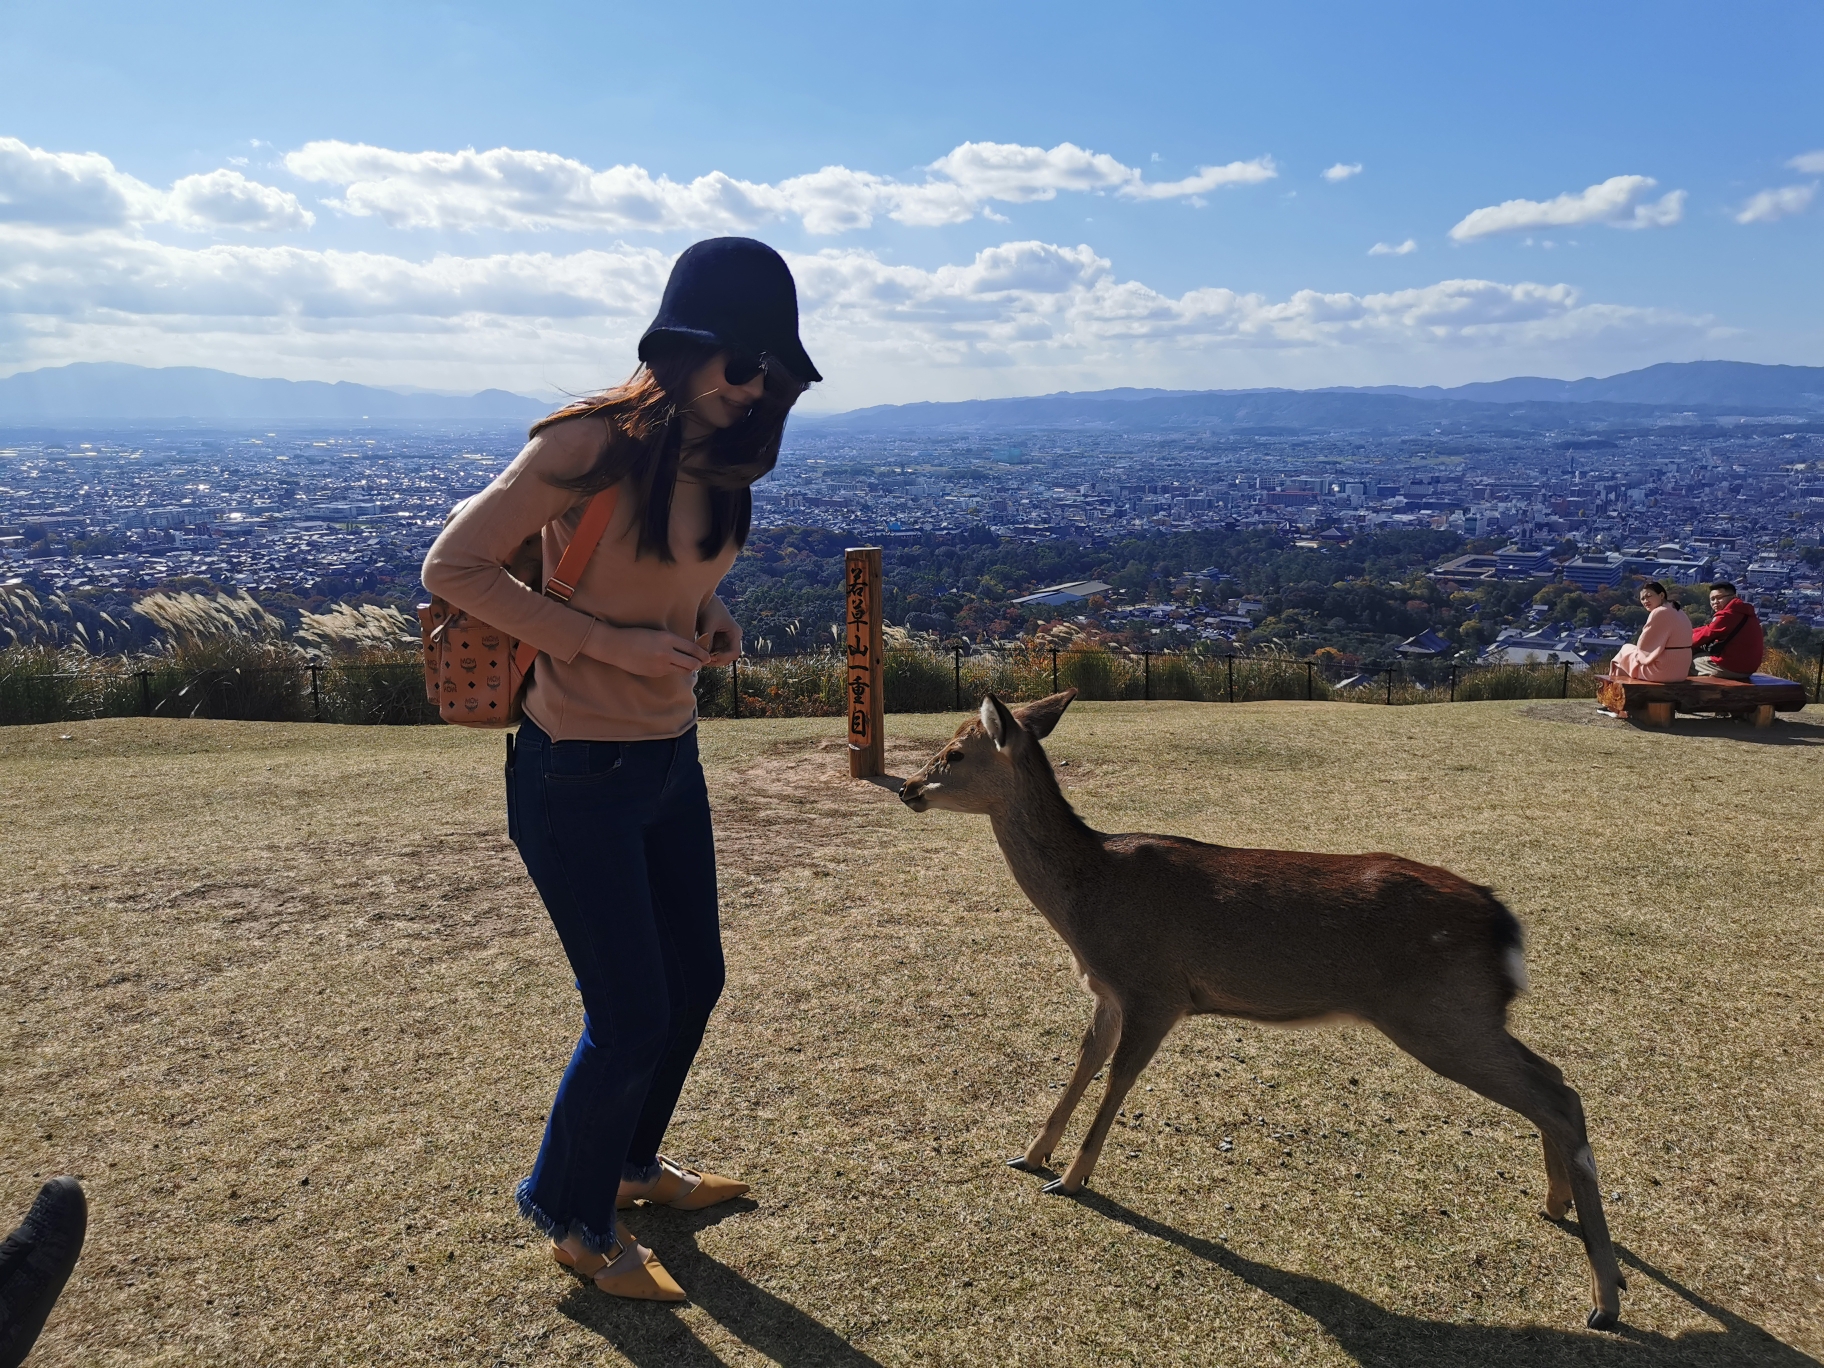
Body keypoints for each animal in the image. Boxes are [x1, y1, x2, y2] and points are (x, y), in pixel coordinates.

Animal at [897, 689, 1627, 1335]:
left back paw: (1606, 1299)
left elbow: (1118, 1081)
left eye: (955, 752)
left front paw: (1072, 1181)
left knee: (1556, 1095)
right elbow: (1082, 1066)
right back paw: (1560, 1209)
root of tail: (1504, 925)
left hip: (1440, 1015)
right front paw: (1030, 1156)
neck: (1086, 906)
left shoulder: (1155, 989)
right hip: (1468, 1014)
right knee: (1555, 1082)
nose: (906, 788)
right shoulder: (1107, 993)